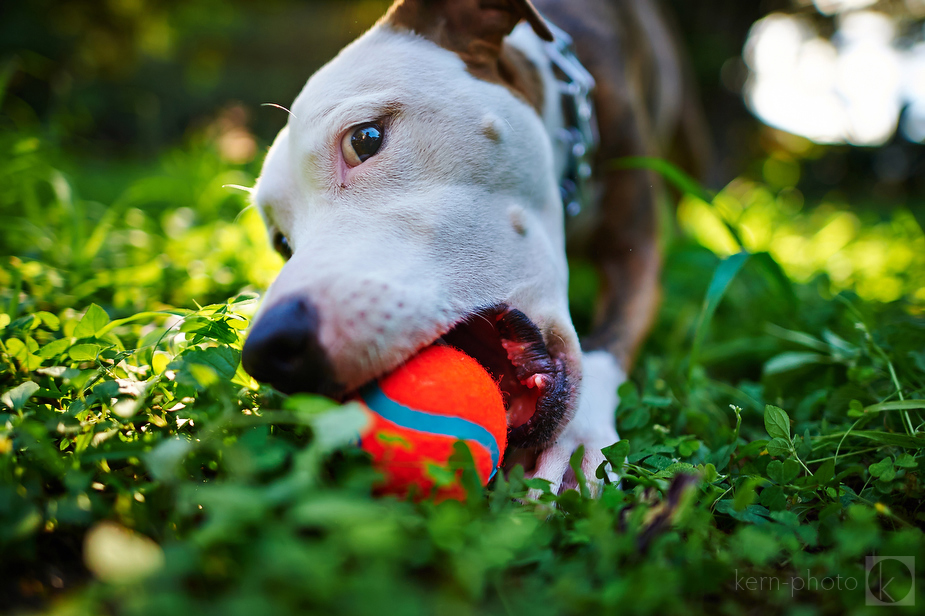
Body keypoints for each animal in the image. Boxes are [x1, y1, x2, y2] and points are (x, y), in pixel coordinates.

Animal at [242, 0, 704, 494]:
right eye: (282, 243)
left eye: (364, 139)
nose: (267, 350)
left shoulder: (635, 249)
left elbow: (608, 343)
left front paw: (578, 441)